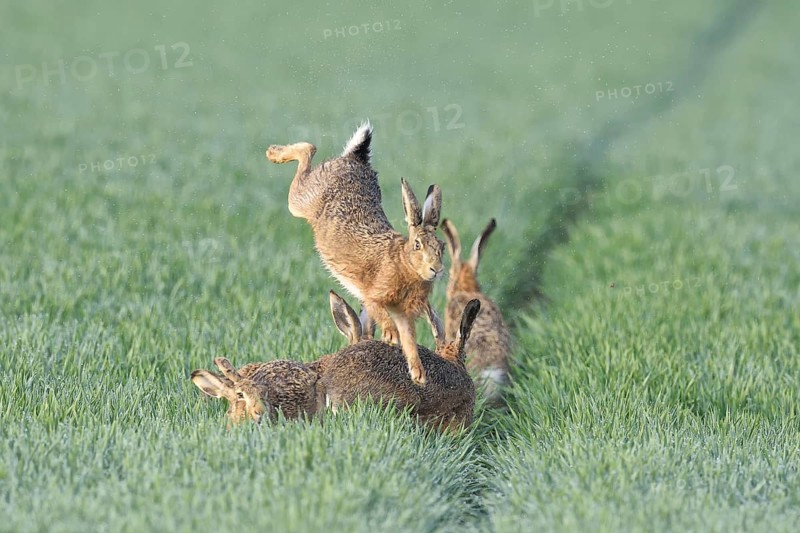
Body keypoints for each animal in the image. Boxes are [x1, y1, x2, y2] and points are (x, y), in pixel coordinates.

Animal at [266, 122, 445, 386]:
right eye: (417, 245)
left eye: (442, 246)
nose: (436, 270)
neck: (401, 261)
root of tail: (354, 158)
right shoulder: (374, 296)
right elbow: (381, 314)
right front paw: (390, 336)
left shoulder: (403, 313)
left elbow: (409, 340)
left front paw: (418, 374)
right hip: (300, 200)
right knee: (307, 152)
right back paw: (274, 153)